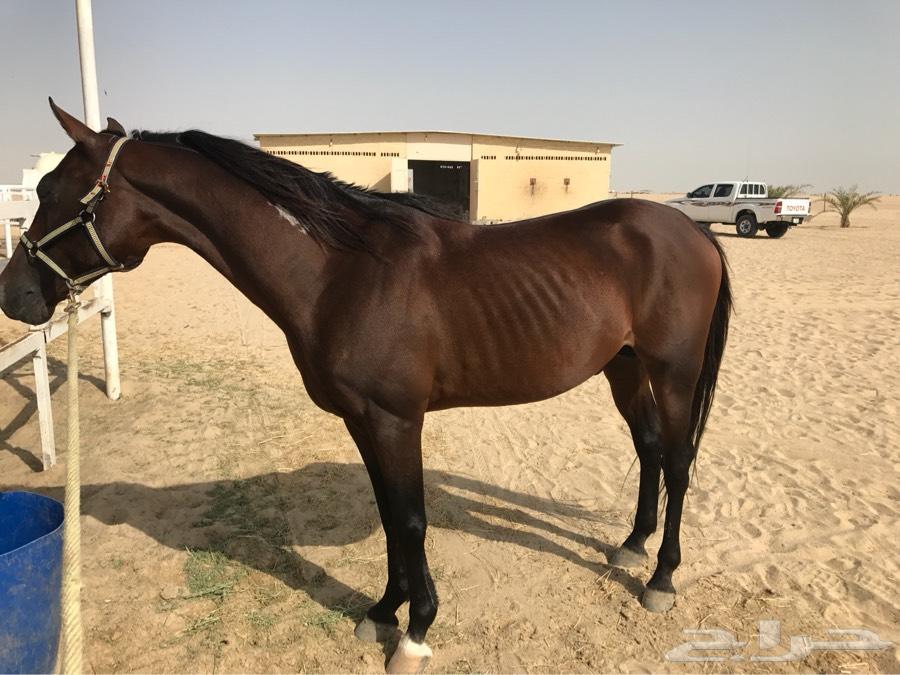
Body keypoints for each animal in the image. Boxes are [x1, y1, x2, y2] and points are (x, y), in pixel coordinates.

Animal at [0, 101, 732, 675]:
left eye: (53, 194)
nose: (15, 295)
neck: (338, 271)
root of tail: (689, 229)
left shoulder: (395, 418)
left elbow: (410, 518)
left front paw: (416, 632)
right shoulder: (360, 418)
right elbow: (387, 515)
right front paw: (383, 610)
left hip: (673, 371)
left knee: (679, 461)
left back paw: (661, 576)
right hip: (623, 366)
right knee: (648, 450)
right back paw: (631, 544)